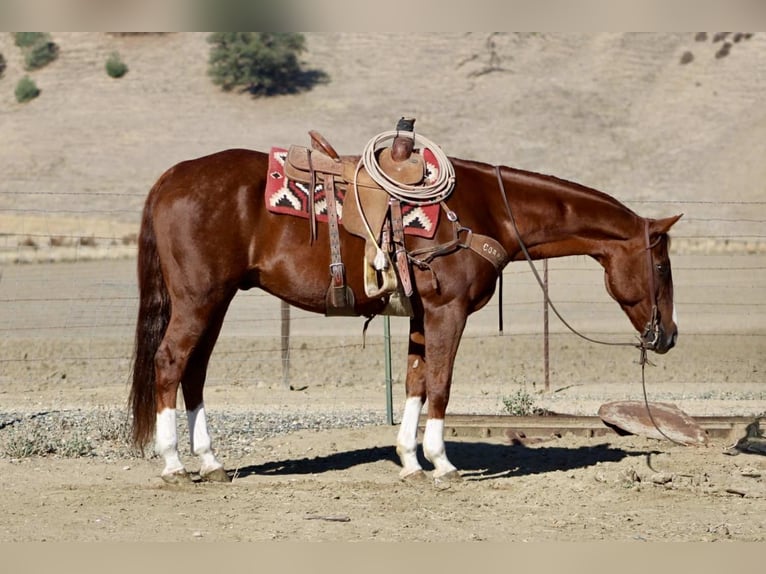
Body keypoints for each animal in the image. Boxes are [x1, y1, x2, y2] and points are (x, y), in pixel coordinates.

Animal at [129, 146, 681, 483]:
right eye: (661, 263)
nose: (669, 336)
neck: (489, 211)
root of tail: (171, 178)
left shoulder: (421, 315)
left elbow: (416, 380)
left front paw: (410, 461)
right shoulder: (448, 311)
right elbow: (440, 383)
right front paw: (442, 463)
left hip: (215, 300)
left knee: (195, 371)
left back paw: (211, 461)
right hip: (199, 298)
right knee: (171, 363)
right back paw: (173, 464)